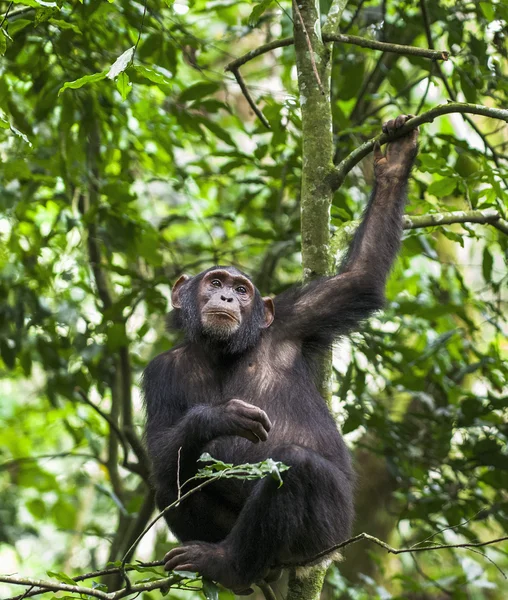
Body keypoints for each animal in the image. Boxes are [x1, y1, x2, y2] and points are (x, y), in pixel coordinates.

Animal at [143, 115, 416, 592]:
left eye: (242, 290)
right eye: (215, 282)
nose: (227, 298)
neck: (223, 351)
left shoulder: (293, 318)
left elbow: (360, 278)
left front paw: (396, 161)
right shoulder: (158, 371)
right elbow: (161, 448)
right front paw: (220, 416)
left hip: (325, 537)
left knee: (295, 465)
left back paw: (227, 565)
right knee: (168, 482)